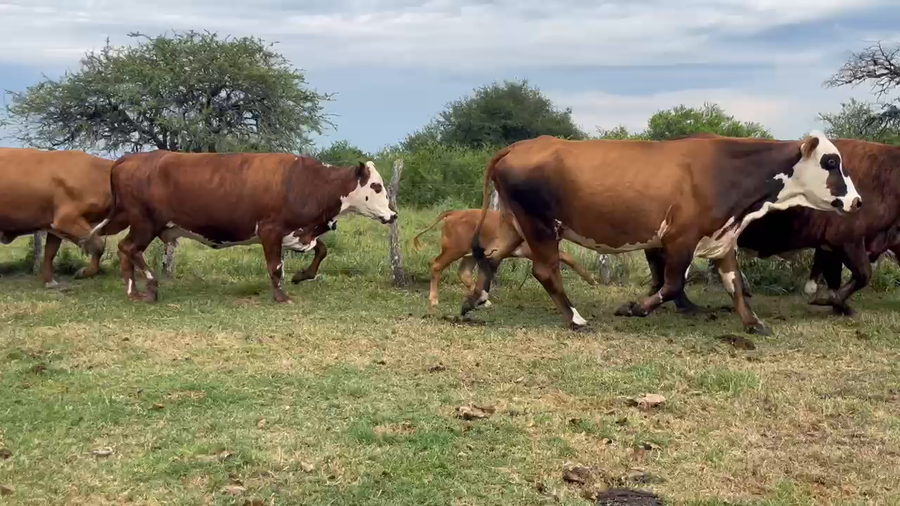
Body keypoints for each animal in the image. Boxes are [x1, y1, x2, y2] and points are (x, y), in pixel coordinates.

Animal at [1, 147, 112, 287]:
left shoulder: (54, 226)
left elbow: (50, 252)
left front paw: (50, 281)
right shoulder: (66, 220)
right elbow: (98, 246)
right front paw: (82, 273)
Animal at [88, 150, 397, 303]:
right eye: (376, 186)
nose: (393, 215)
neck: (308, 183)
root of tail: (129, 158)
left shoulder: (299, 233)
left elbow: (321, 250)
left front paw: (301, 276)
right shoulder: (270, 231)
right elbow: (275, 266)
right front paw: (281, 296)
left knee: (124, 250)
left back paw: (135, 291)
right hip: (145, 223)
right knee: (128, 248)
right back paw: (148, 287)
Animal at [411, 208, 596, 307]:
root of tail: (455, 213)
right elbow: (568, 257)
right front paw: (591, 279)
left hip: (470, 254)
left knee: (463, 273)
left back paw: (483, 300)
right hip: (454, 250)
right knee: (436, 265)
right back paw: (433, 299)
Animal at [459, 132, 861, 334]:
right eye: (831, 162)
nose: (857, 201)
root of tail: (522, 144)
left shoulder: (722, 239)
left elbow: (734, 285)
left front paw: (753, 323)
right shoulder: (680, 239)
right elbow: (671, 285)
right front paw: (635, 307)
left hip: (515, 223)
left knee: (491, 256)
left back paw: (473, 300)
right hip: (541, 227)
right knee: (545, 271)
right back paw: (575, 319)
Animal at [645, 138, 900, 316]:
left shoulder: (830, 247)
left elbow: (836, 279)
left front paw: (836, 305)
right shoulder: (848, 240)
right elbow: (862, 275)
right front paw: (833, 303)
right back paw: (684, 305)